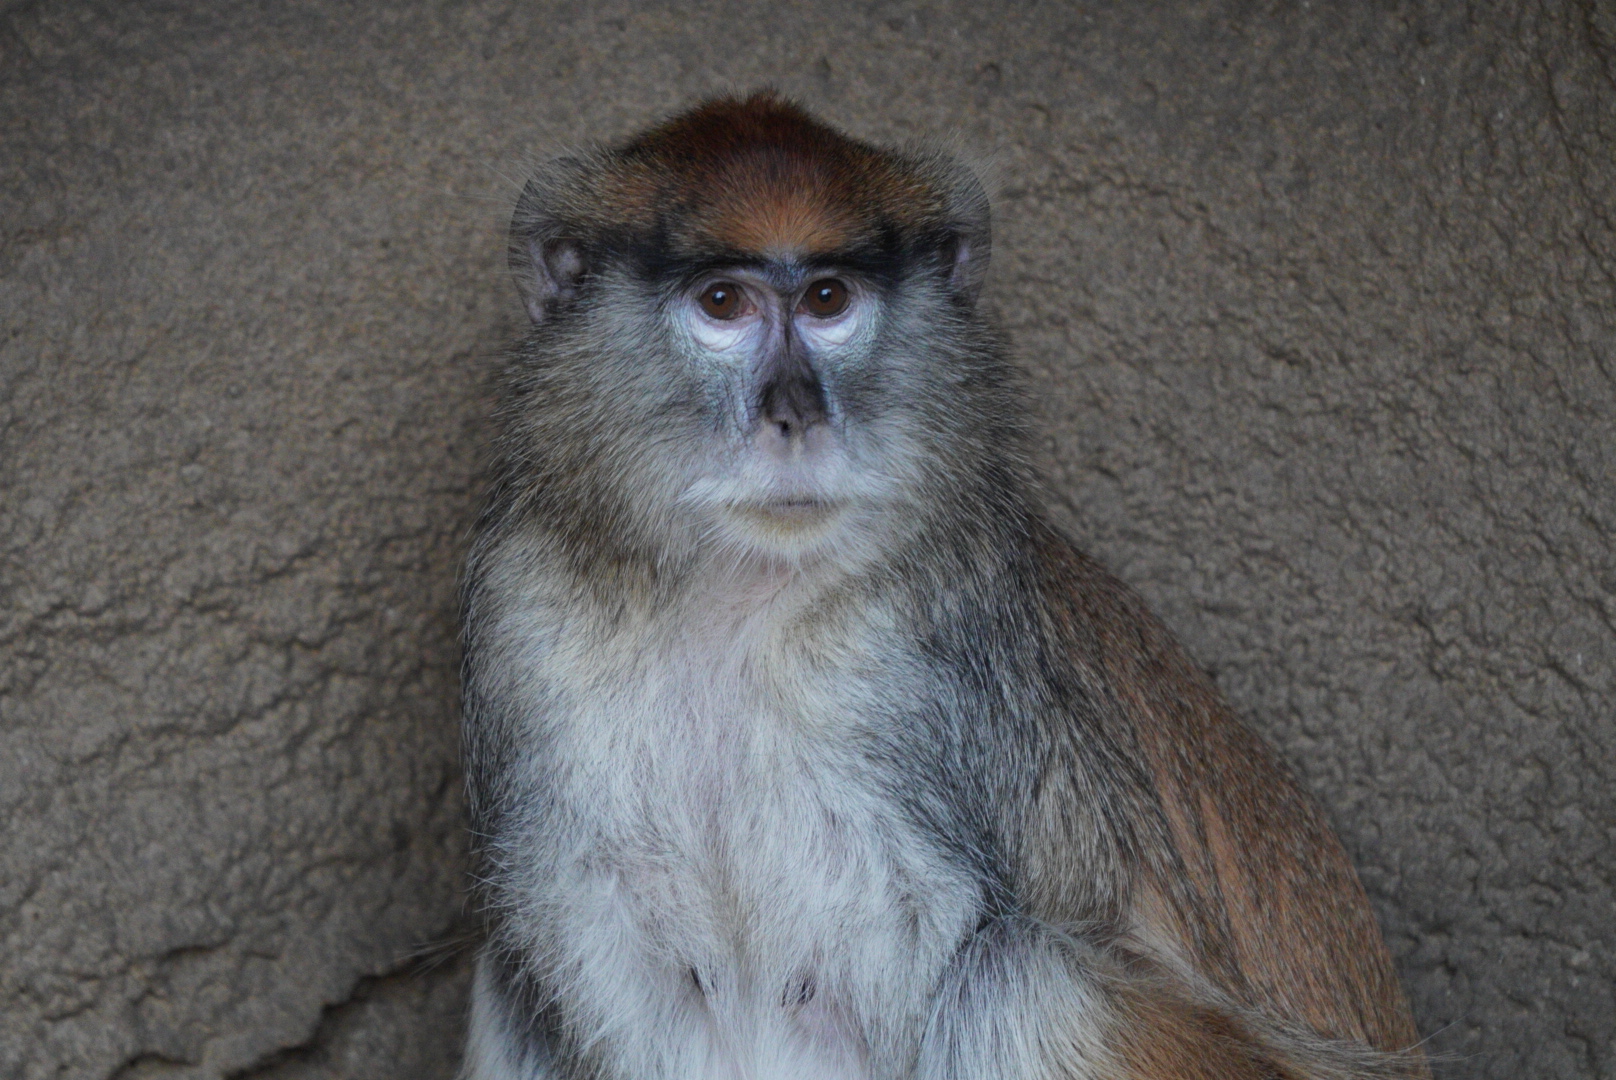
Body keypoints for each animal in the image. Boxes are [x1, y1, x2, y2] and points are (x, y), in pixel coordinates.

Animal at [458, 91, 1428, 1080]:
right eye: (723, 302)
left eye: (829, 299)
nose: (794, 417)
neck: (734, 602)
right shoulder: (528, 612)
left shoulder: (934, 669)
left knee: (1013, 982)